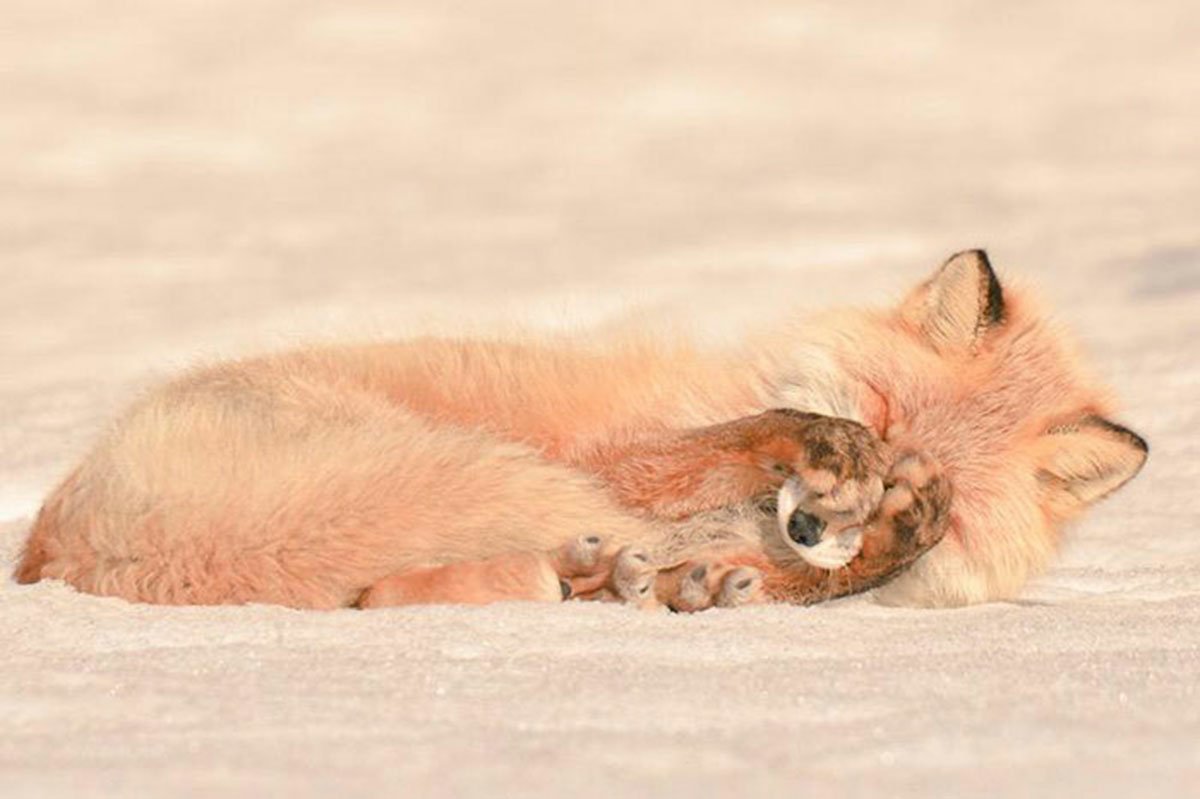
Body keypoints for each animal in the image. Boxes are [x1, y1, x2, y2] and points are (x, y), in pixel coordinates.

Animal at [14, 250, 1147, 610]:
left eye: (934, 474)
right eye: (874, 413)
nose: (812, 528)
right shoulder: (619, 460)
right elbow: (730, 442)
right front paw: (800, 452)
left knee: (376, 594)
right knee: (375, 593)